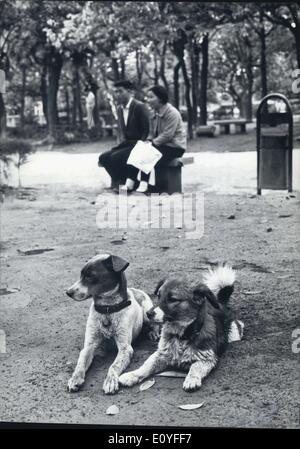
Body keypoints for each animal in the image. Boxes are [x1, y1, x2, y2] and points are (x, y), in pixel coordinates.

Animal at [65, 254, 159, 394]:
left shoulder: (125, 348)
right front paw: (75, 378)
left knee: (153, 323)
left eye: (90, 276)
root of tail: (135, 290)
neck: (107, 310)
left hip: (147, 312)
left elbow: (113, 366)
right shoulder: (89, 346)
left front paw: (110, 380)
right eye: (81, 275)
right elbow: (80, 363)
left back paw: (153, 333)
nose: (68, 292)